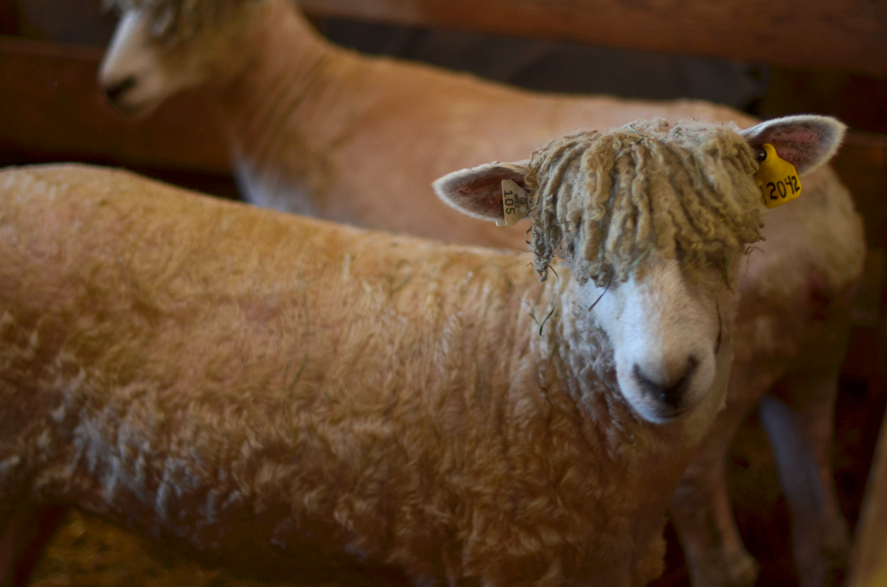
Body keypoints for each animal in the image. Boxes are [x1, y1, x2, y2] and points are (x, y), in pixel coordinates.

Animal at [96, 2, 866, 584]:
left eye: (187, 15)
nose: (114, 86)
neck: (296, 97)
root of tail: (824, 233)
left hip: (716, 399)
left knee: (725, 548)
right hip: (813, 357)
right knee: (821, 531)